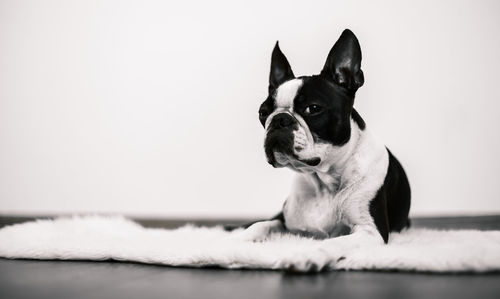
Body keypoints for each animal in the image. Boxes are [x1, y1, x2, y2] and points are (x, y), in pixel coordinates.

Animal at [230, 29, 410, 272]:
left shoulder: (370, 231)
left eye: (312, 109)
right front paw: (230, 241)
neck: (324, 182)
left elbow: (334, 242)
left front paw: (306, 255)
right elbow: (261, 224)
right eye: (263, 112)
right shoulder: (284, 221)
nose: (278, 120)